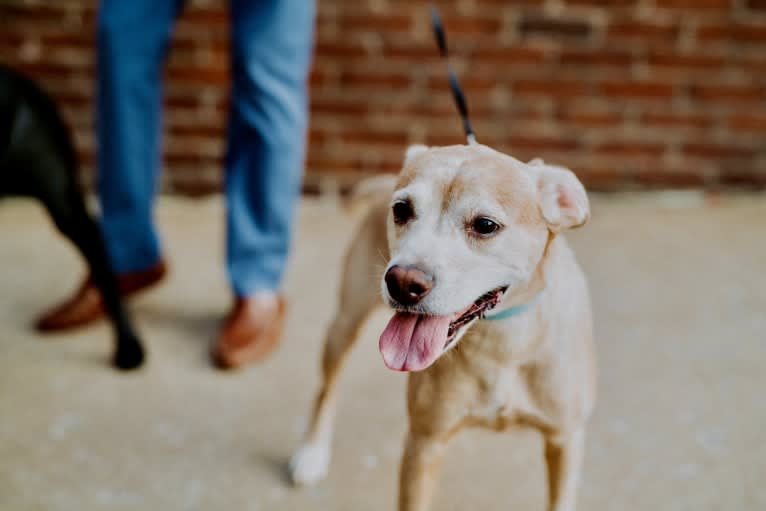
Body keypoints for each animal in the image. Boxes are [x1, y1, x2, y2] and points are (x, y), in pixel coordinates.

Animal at [292, 144, 596, 511]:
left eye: (485, 225)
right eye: (401, 209)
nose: (403, 282)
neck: (501, 341)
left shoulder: (564, 441)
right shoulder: (424, 444)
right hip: (345, 323)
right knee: (327, 387)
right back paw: (312, 452)